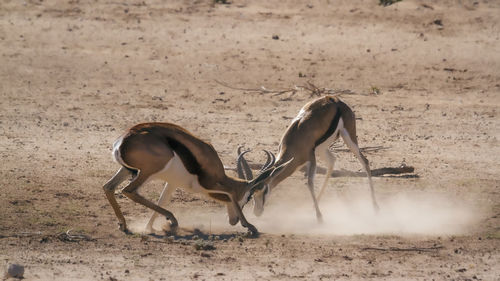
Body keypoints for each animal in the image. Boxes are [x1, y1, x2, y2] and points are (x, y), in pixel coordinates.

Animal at [102, 122, 288, 234]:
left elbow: (162, 200)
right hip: (147, 172)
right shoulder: (209, 184)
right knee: (128, 191)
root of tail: (122, 141)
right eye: (249, 197)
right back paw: (172, 220)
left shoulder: (172, 183)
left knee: (108, 187)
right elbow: (230, 194)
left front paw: (150, 227)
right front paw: (250, 226)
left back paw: (124, 224)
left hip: (127, 170)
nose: (233, 221)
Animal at [238, 95, 378, 221]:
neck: (295, 141)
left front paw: (319, 217)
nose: (257, 212)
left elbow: (309, 183)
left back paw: (375, 206)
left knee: (364, 161)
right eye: (250, 194)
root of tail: (336, 100)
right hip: (322, 148)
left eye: (264, 189)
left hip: (348, 138)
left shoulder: (311, 158)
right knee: (332, 160)